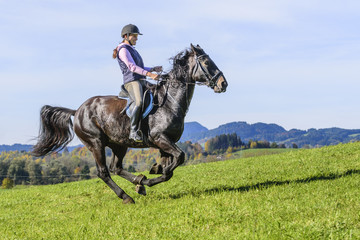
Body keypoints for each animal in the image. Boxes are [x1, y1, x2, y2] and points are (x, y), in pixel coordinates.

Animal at [31, 44, 228, 203]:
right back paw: (126, 196)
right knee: (104, 172)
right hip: (96, 143)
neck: (170, 102)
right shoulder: (160, 138)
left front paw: (151, 175)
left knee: (116, 168)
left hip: (120, 145)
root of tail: (77, 111)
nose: (223, 84)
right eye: (207, 62)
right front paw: (153, 178)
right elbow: (177, 160)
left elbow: (170, 166)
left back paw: (139, 182)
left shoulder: (167, 142)